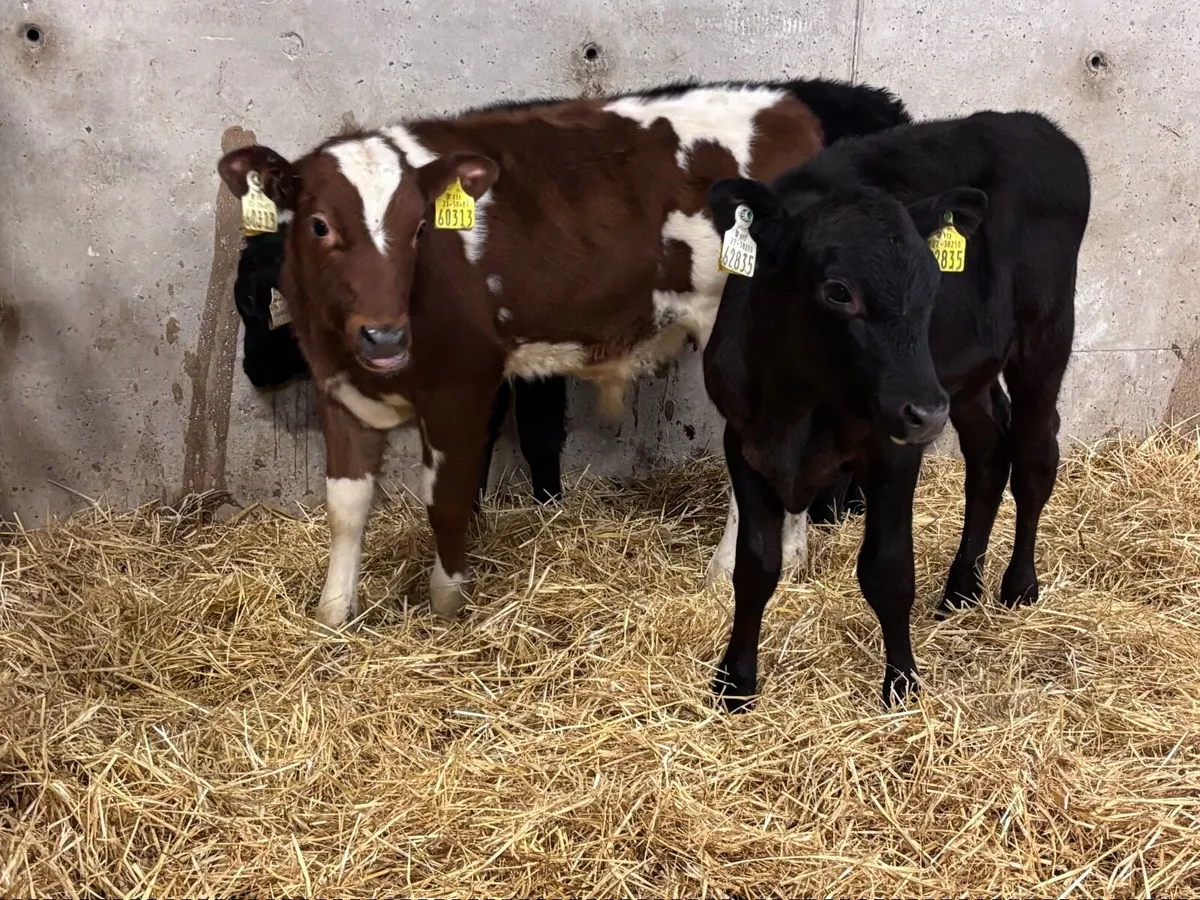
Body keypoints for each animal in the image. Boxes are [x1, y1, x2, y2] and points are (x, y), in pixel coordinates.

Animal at [702, 110, 1091, 710]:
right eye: (838, 291)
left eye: (934, 282)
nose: (926, 412)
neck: (796, 406)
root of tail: (1035, 125)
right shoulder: (744, 438)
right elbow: (756, 567)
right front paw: (735, 681)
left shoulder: (891, 449)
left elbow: (888, 572)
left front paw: (902, 684)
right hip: (964, 381)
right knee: (988, 458)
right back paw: (961, 588)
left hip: (1042, 338)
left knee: (1033, 457)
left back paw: (1018, 585)